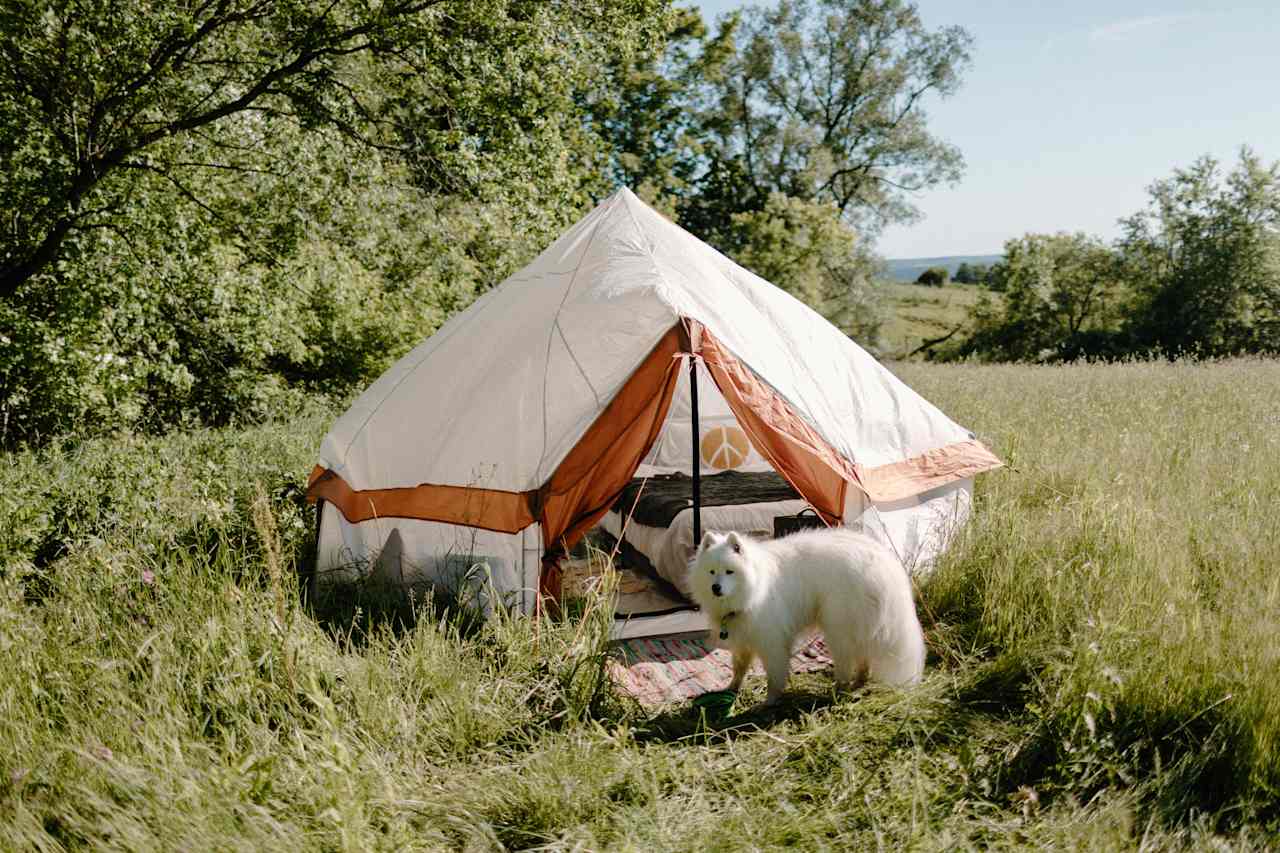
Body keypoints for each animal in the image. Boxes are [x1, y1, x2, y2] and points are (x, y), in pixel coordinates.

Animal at [691, 527, 921, 701]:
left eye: (729, 571)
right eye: (711, 572)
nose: (715, 588)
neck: (754, 588)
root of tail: (886, 563)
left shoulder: (772, 642)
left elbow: (774, 675)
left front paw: (769, 701)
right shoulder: (743, 639)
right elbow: (739, 668)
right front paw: (731, 688)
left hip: (838, 627)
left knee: (846, 661)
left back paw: (839, 688)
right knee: (862, 658)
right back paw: (859, 681)